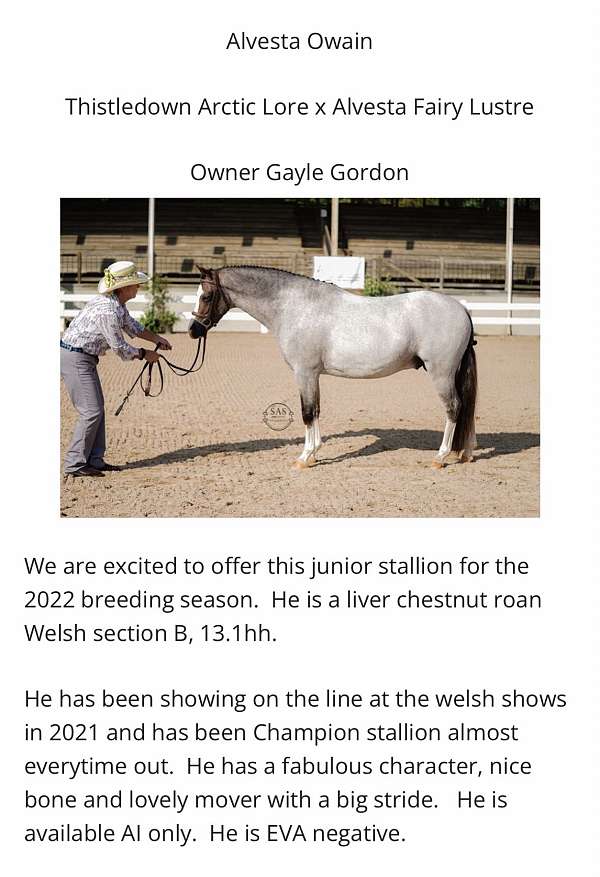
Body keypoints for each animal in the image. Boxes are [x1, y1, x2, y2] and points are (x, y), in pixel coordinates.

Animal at [189, 265, 477, 470]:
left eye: (207, 296)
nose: (193, 330)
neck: (295, 306)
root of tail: (461, 309)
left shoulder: (304, 373)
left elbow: (306, 413)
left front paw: (304, 457)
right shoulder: (313, 375)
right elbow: (315, 411)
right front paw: (313, 454)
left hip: (441, 373)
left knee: (454, 408)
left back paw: (440, 457)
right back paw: (465, 452)